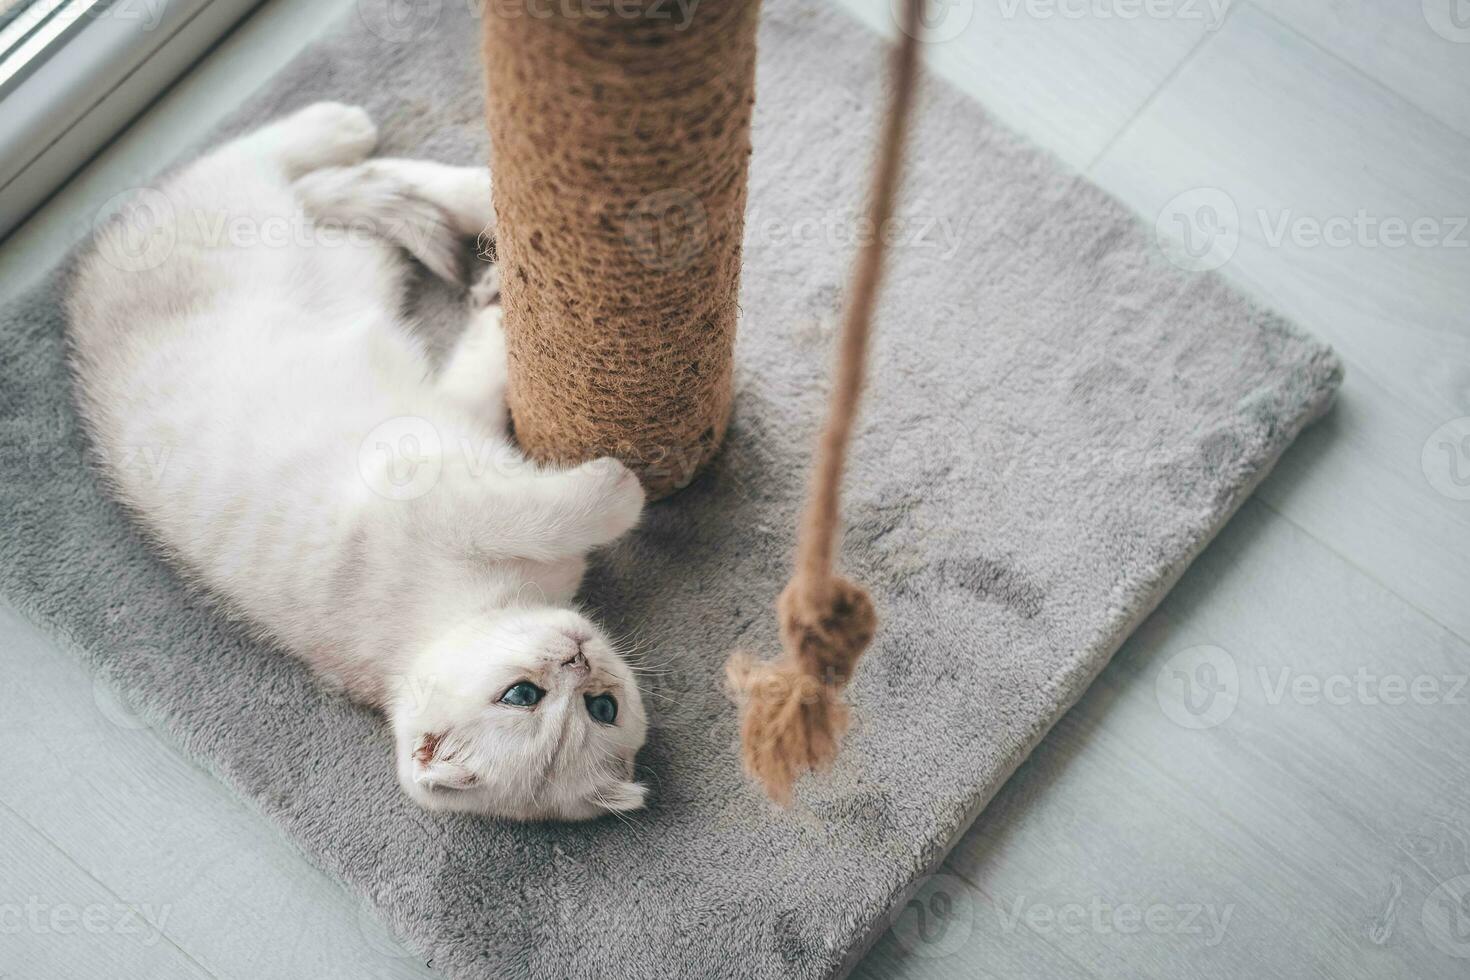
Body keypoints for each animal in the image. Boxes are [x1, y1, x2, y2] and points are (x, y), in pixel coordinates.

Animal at [63, 103, 649, 822]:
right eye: (523, 696)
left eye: (602, 707)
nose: (578, 657)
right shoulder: (444, 492)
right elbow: (553, 511)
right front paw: (618, 486)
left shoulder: (452, 424)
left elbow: (480, 376)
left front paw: (495, 314)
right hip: (262, 224)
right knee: (259, 163)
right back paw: (343, 129)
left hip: (341, 253)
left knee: (347, 184)